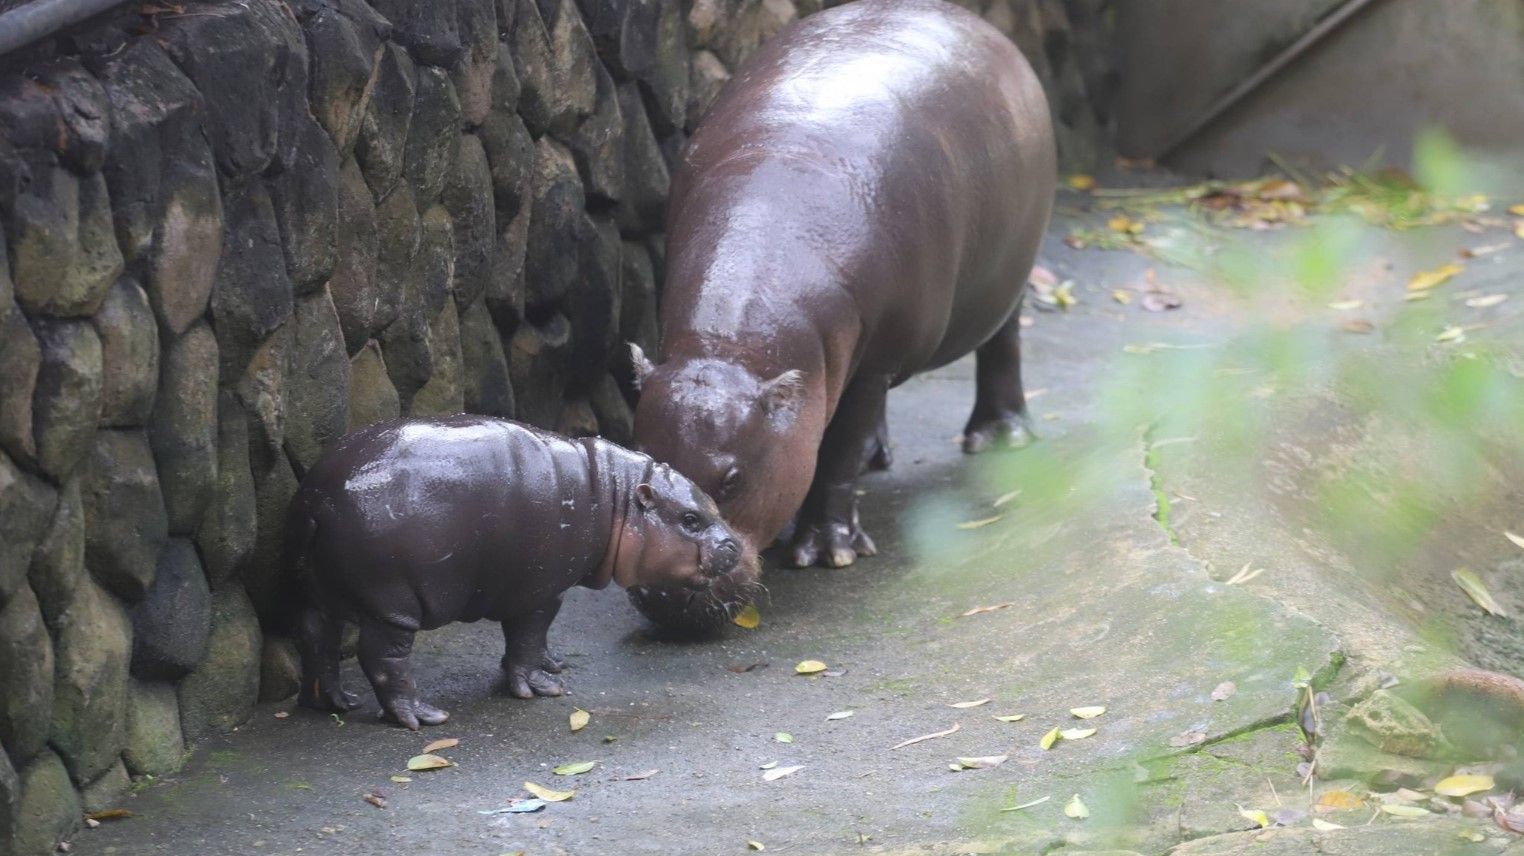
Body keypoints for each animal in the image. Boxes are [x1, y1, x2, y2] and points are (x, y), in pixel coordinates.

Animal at [283, 414, 758, 725]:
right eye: (690, 519)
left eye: (711, 505)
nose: (734, 544)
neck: (612, 495)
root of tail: (317, 499)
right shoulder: (540, 591)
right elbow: (528, 636)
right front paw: (542, 687)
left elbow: (537, 641)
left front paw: (554, 664)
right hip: (393, 603)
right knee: (382, 656)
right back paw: (422, 716)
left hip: (319, 591)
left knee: (315, 637)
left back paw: (334, 702)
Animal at [624, 0, 1054, 624]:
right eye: (640, 458)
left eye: (731, 480)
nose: (659, 595)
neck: (730, 352)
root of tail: (980, 25)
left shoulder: (874, 361)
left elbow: (837, 454)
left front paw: (828, 552)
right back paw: (882, 456)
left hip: (1008, 276)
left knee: (1003, 345)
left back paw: (997, 438)